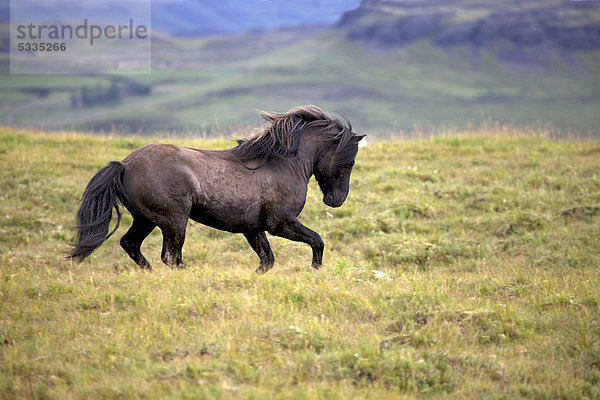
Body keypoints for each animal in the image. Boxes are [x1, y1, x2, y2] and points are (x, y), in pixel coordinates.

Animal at [68, 104, 364, 274]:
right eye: (349, 162)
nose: (336, 201)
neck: (282, 162)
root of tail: (125, 165)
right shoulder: (281, 223)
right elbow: (317, 240)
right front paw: (316, 270)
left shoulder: (253, 228)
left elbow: (266, 260)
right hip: (174, 221)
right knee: (171, 257)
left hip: (146, 219)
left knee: (132, 244)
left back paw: (149, 273)